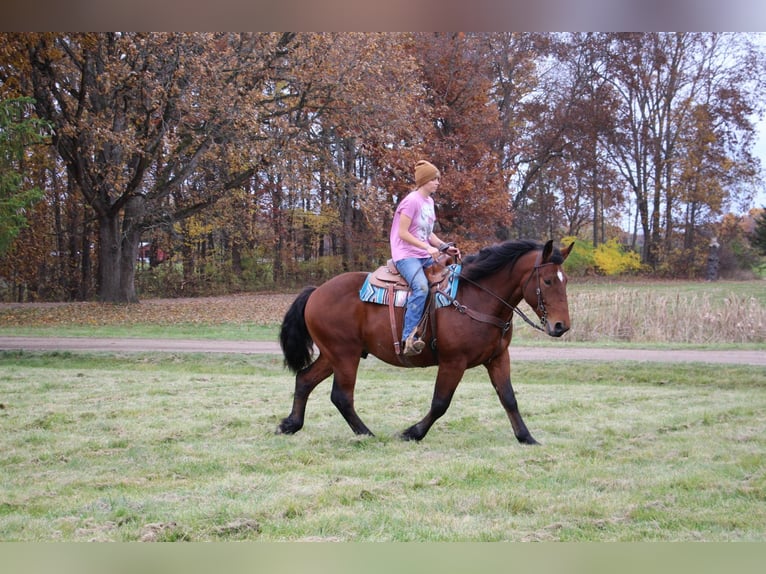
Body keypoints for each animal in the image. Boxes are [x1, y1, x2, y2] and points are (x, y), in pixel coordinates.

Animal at [280, 238, 572, 446]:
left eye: (565, 280)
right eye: (547, 281)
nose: (561, 326)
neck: (477, 297)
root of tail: (316, 291)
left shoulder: (498, 358)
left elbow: (509, 398)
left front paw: (526, 437)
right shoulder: (453, 362)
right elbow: (440, 402)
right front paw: (412, 433)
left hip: (334, 355)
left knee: (305, 379)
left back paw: (291, 424)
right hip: (344, 355)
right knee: (341, 396)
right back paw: (367, 434)